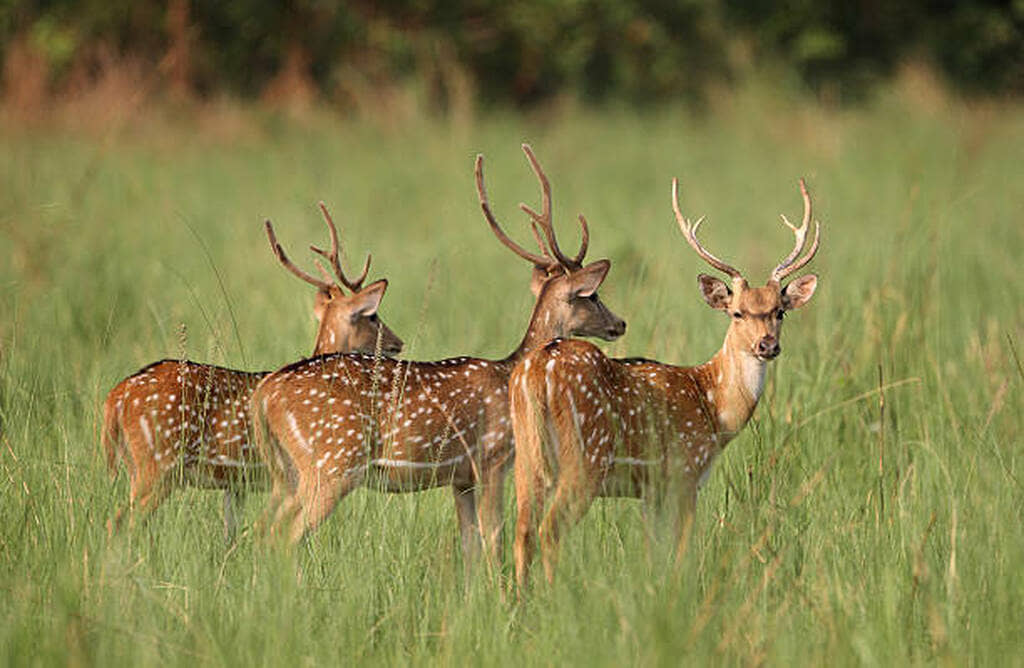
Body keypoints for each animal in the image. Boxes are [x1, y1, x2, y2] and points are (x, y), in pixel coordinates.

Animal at [101, 203, 403, 540]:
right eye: (373, 316)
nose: (398, 343)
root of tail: (115, 397)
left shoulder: (237, 485)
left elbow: (231, 536)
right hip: (157, 465)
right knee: (117, 523)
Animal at [251, 144, 627, 565]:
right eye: (592, 295)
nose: (620, 323)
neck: (510, 372)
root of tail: (265, 394)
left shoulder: (460, 478)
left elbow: (470, 545)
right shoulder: (492, 458)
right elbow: (494, 537)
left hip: (288, 472)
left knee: (260, 532)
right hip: (331, 463)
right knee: (284, 537)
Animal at [509, 178, 820, 587]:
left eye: (780, 311)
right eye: (737, 313)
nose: (767, 345)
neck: (714, 407)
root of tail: (535, 371)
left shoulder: (651, 491)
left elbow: (653, 554)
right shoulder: (685, 471)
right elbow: (683, 551)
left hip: (527, 457)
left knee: (522, 532)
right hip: (585, 456)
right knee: (549, 530)